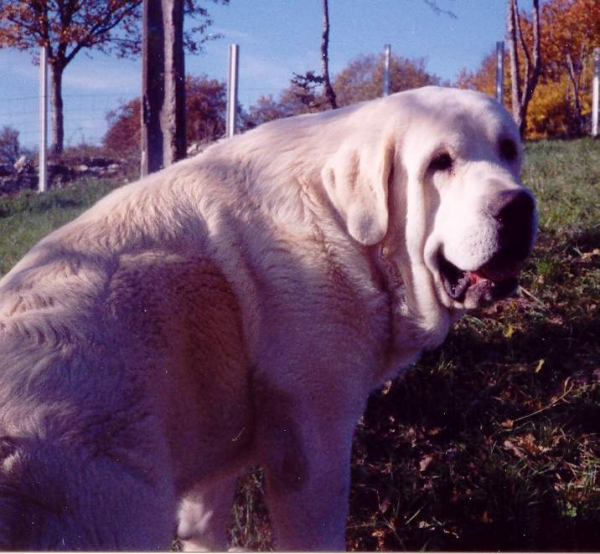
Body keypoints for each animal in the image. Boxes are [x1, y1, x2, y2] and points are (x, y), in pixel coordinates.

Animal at [0, 86, 536, 548]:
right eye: (440, 163)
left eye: (508, 149)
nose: (517, 205)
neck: (343, 223)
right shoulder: (314, 445)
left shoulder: (214, 444)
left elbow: (203, 522)